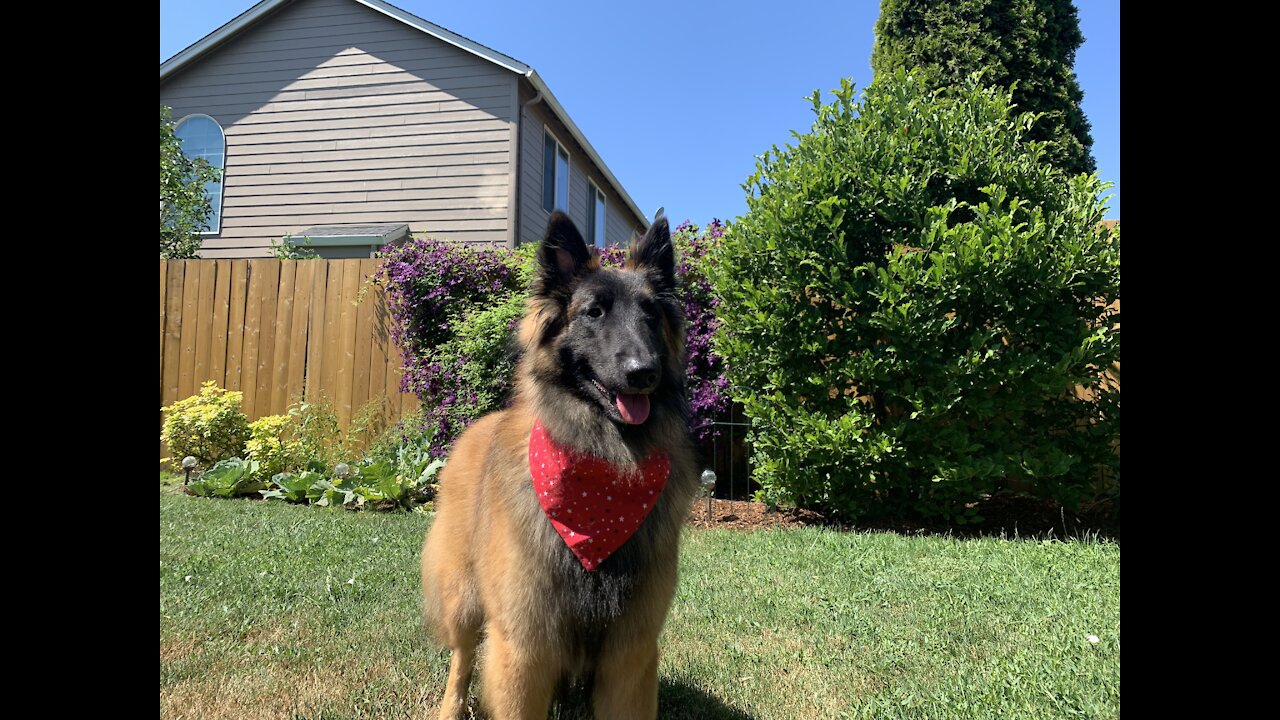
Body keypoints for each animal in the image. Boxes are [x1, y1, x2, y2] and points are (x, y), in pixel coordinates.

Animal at [422, 210, 701, 712]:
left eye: (651, 314)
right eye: (594, 312)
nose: (643, 373)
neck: (604, 465)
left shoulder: (630, 655)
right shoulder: (524, 648)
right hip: (464, 598)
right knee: (461, 660)